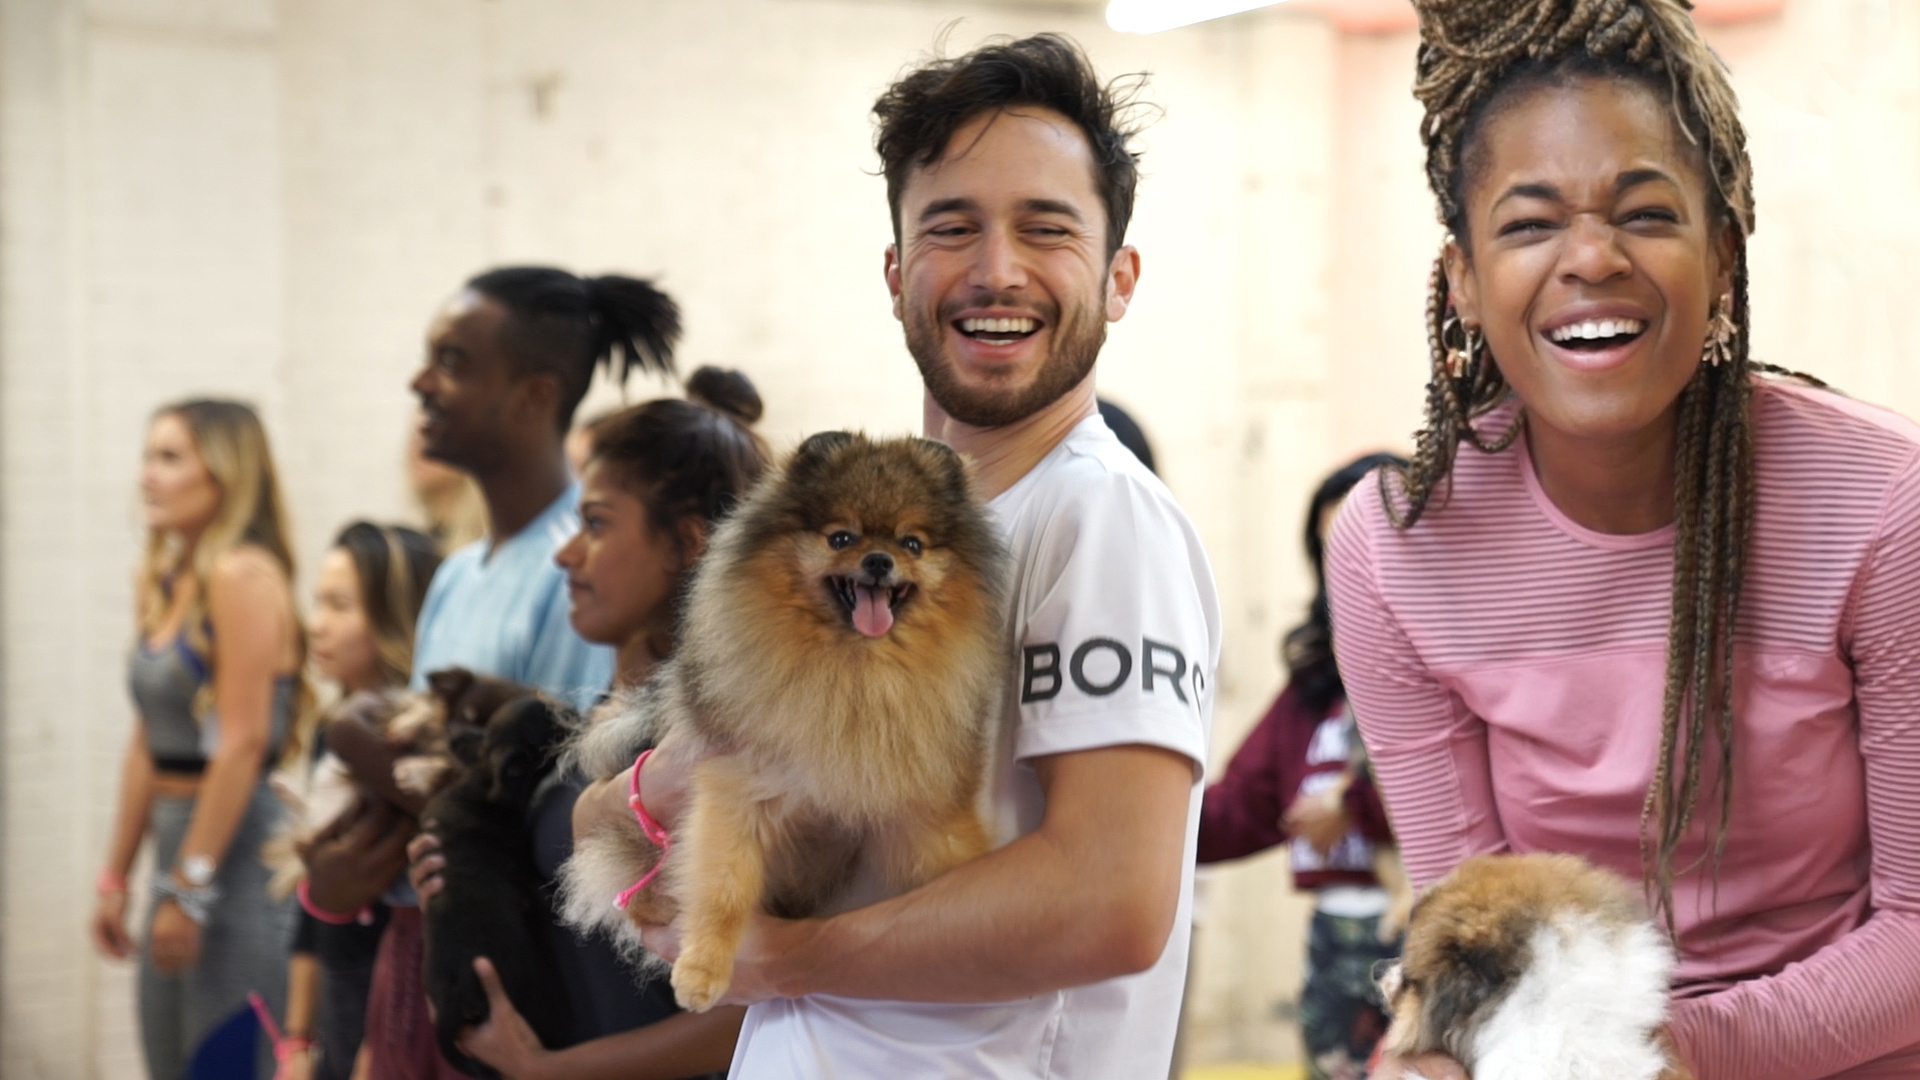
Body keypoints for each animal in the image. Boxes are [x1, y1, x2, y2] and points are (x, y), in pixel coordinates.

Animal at [560, 428, 1013, 1006]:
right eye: (840, 538)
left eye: (912, 544)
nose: (879, 560)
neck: (857, 671)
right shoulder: (738, 785)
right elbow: (723, 887)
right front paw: (701, 972)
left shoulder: (922, 801)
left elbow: (954, 861)